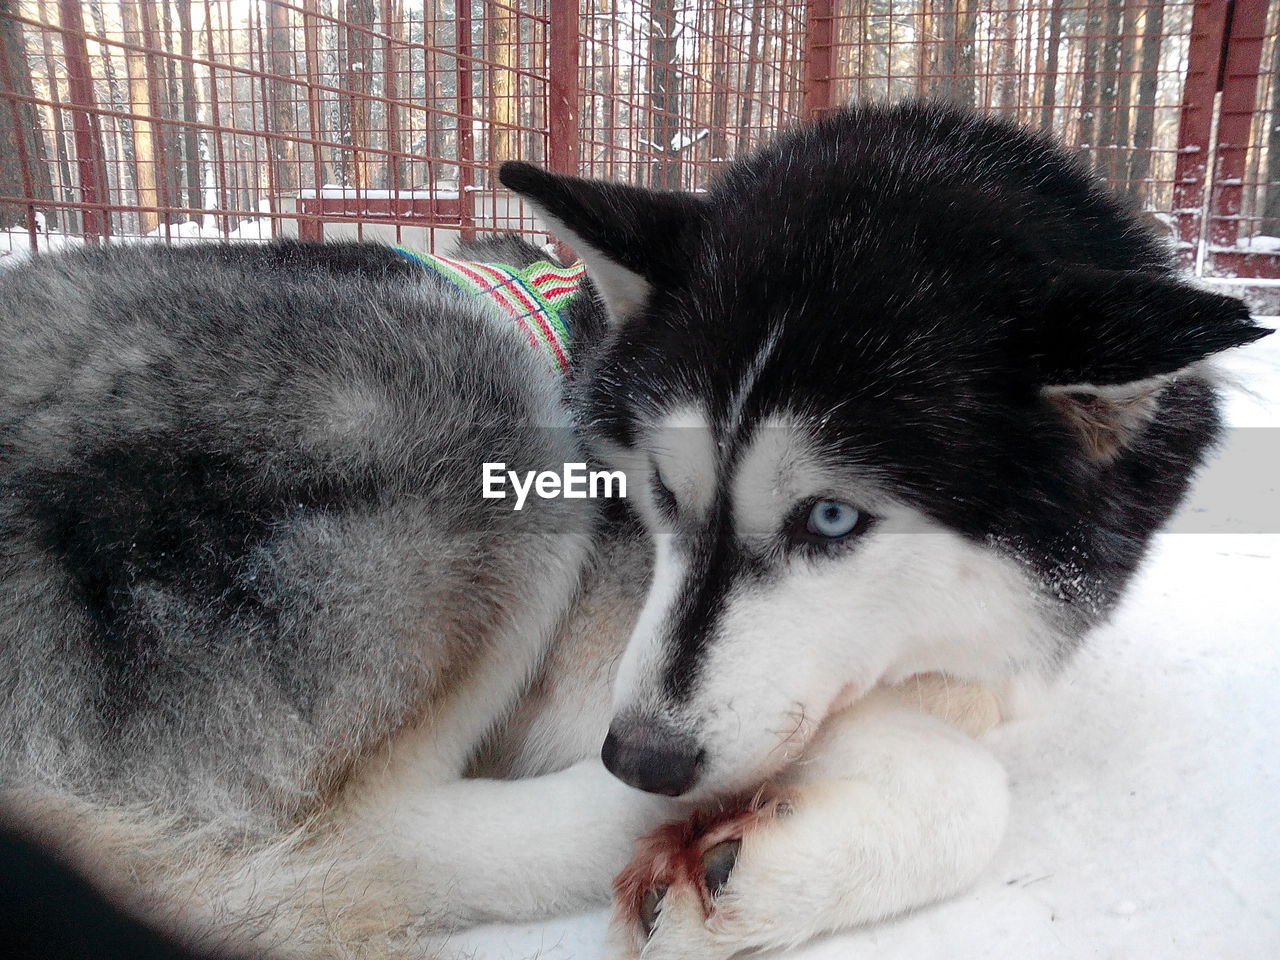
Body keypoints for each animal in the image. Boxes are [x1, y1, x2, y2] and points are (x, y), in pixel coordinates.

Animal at [0, 101, 1264, 957]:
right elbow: (963, 782)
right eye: (658, 487)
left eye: (833, 517)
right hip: (473, 388)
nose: (643, 755)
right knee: (361, 836)